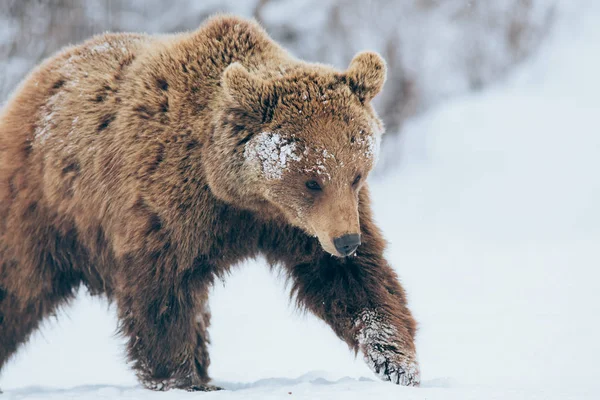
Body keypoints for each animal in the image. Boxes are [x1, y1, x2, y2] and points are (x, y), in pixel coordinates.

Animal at [0, 14, 420, 390]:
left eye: (357, 173)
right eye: (311, 181)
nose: (346, 241)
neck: (238, 195)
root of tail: (34, 79)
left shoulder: (299, 224)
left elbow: (350, 279)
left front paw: (396, 361)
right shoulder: (169, 206)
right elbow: (164, 294)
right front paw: (177, 377)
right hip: (44, 211)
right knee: (16, 287)